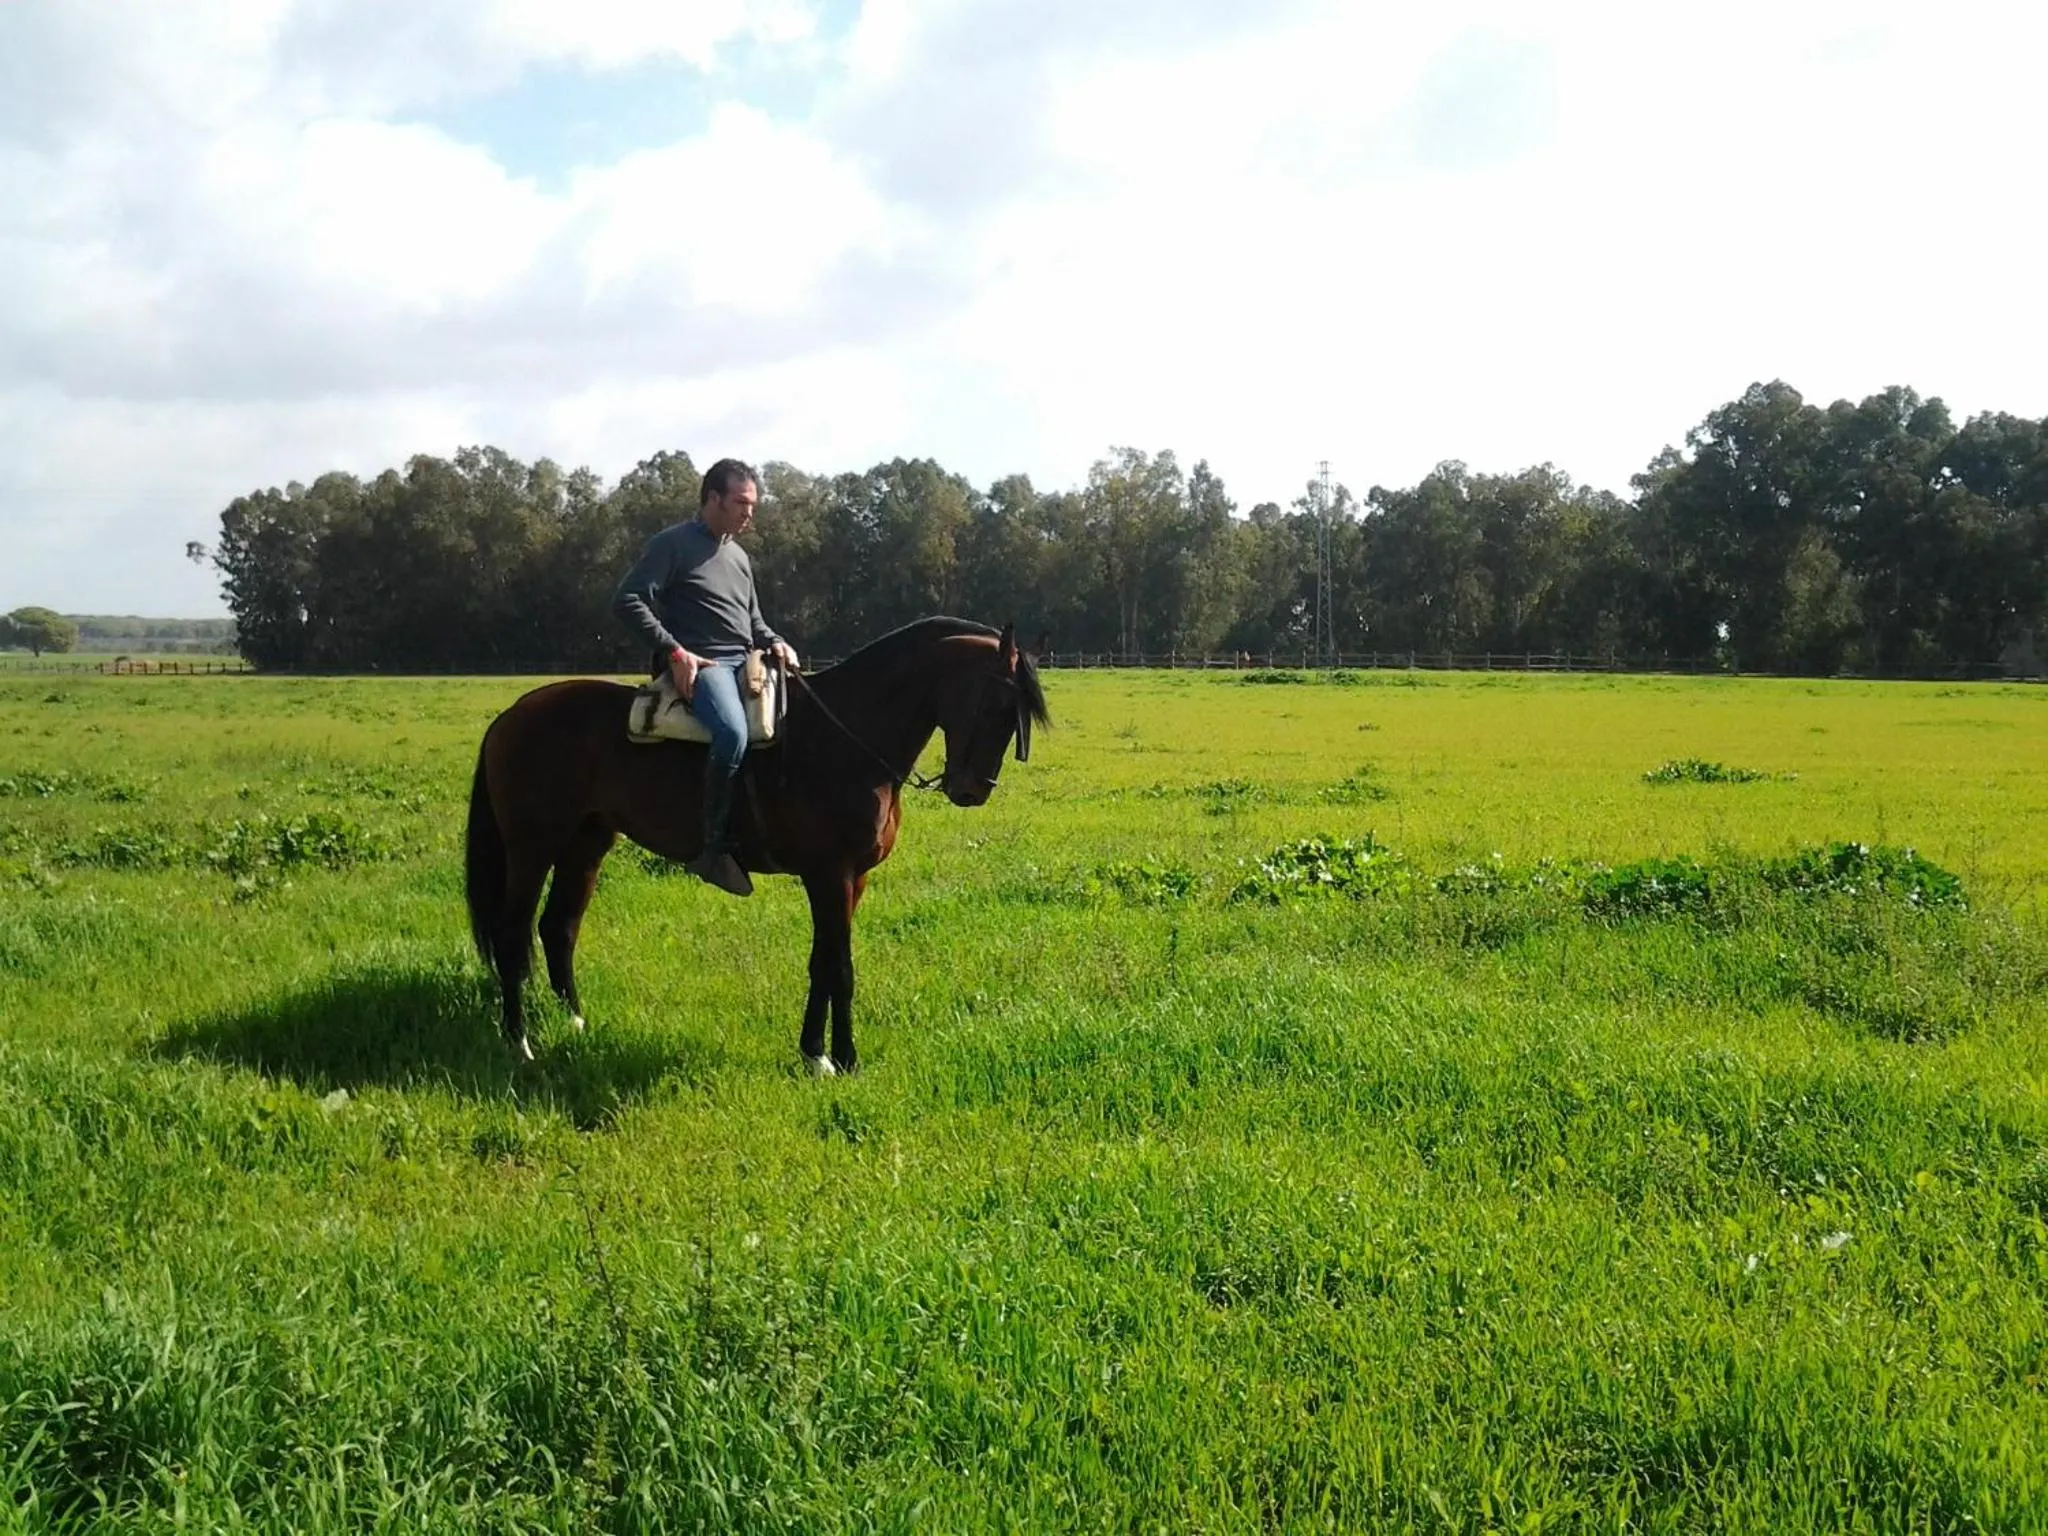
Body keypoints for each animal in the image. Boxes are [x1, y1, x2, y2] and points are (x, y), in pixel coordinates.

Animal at [463, 617, 1050, 1074]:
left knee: (558, 928)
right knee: (513, 936)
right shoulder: (829, 874)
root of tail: (510, 716)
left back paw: (574, 1022)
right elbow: (841, 968)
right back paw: (520, 1043)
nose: (972, 790)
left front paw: (815, 1053)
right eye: (996, 703)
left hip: (586, 843)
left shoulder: (851, 879)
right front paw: (845, 1059)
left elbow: (822, 962)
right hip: (531, 846)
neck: (845, 739)